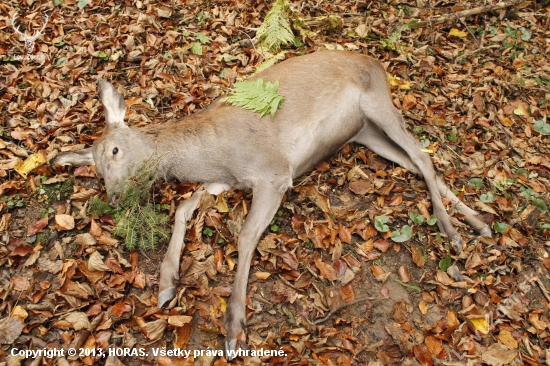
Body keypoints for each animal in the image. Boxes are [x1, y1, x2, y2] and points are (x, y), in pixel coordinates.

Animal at [52, 50, 492, 354]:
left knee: (423, 156)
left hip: (378, 103)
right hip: (364, 133)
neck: (213, 154)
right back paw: (479, 224)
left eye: (113, 151)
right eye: (94, 169)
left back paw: (453, 232)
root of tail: (378, 63)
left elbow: (245, 237)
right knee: (417, 164)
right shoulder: (223, 181)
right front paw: (166, 284)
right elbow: (182, 208)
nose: (113, 198)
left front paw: (234, 328)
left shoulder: (273, 173)